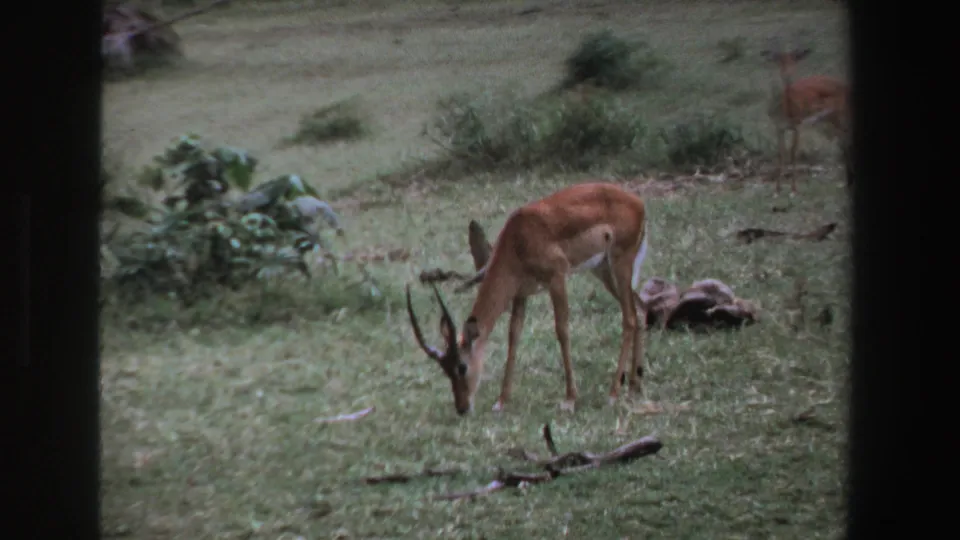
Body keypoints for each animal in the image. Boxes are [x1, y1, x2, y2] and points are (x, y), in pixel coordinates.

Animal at [406, 183, 649, 416]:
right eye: (445, 370)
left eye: (462, 366)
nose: (462, 408)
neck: (517, 238)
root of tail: (639, 204)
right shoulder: (520, 294)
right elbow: (514, 336)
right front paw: (501, 402)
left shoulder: (557, 278)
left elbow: (562, 331)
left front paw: (569, 399)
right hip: (603, 271)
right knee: (640, 310)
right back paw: (634, 386)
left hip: (619, 264)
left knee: (629, 318)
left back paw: (613, 393)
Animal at [762, 42, 851, 194]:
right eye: (780, 61)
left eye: (794, 60)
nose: (788, 74)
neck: (787, 108)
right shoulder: (779, 128)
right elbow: (780, 154)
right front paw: (778, 188)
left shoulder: (798, 127)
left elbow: (793, 153)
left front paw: (794, 188)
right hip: (832, 119)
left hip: (839, 116)